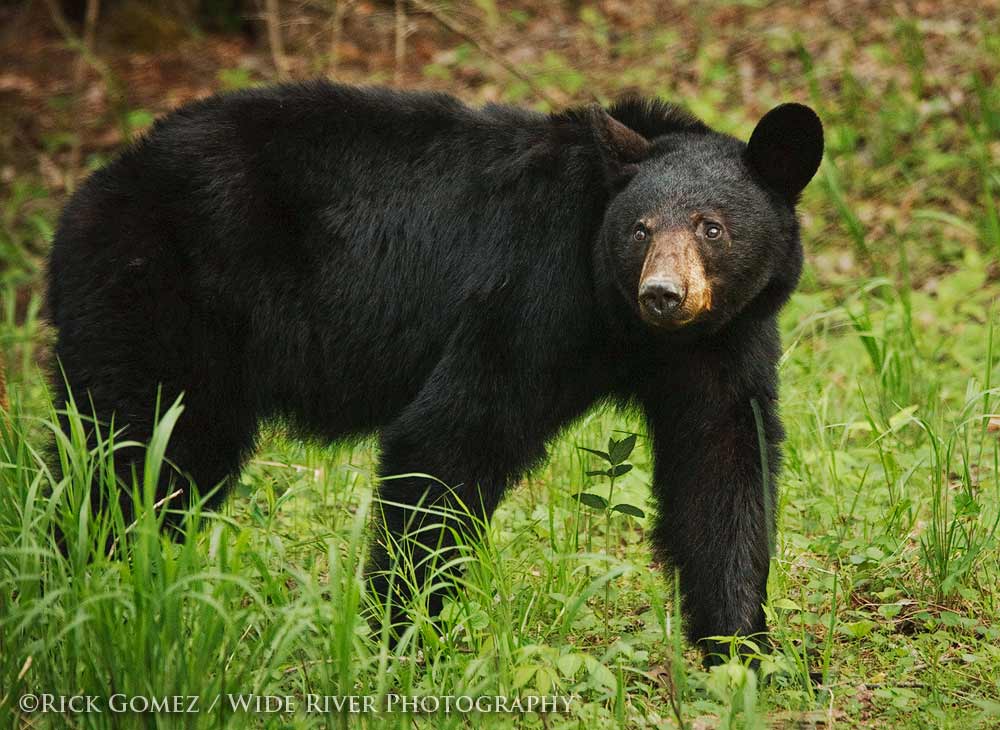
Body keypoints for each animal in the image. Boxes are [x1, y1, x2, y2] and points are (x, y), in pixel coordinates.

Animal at [46, 81, 823, 659]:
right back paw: (91, 582)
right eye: (639, 230)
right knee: (130, 450)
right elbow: (453, 438)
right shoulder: (533, 287)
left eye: (711, 227)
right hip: (157, 298)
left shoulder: (723, 342)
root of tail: (91, 193)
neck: (623, 326)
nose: (662, 293)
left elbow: (721, 464)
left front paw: (742, 648)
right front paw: (405, 634)